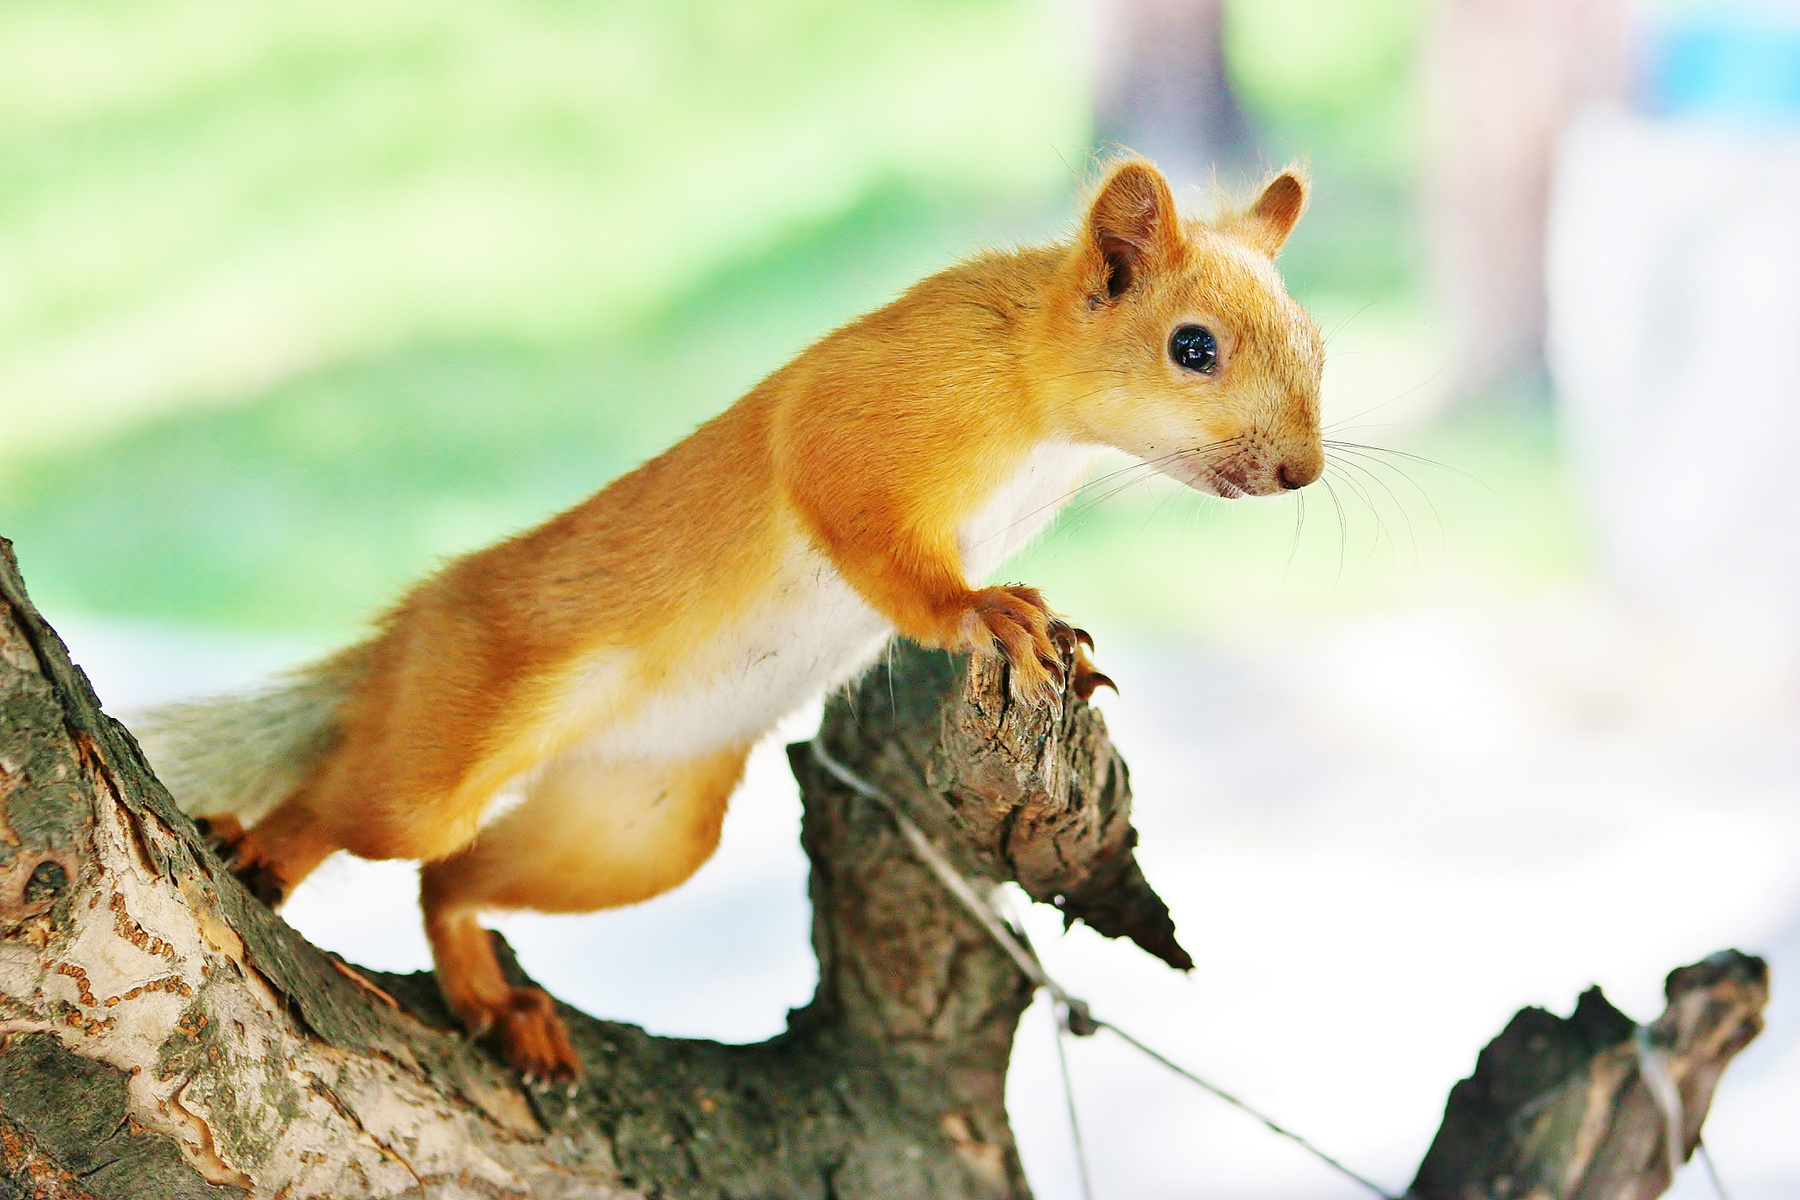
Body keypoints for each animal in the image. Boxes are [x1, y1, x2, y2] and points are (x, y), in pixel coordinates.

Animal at [133, 156, 1325, 1081]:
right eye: (1192, 347)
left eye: (1315, 343)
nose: (1301, 473)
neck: (1045, 405)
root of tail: (405, 633)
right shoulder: (869, 415)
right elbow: (865, 527)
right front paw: (984, 609)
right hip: (457, 718)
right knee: (357, 804)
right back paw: (265, 845)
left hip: (638, 830)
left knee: (444, 882)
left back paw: (488, 992)